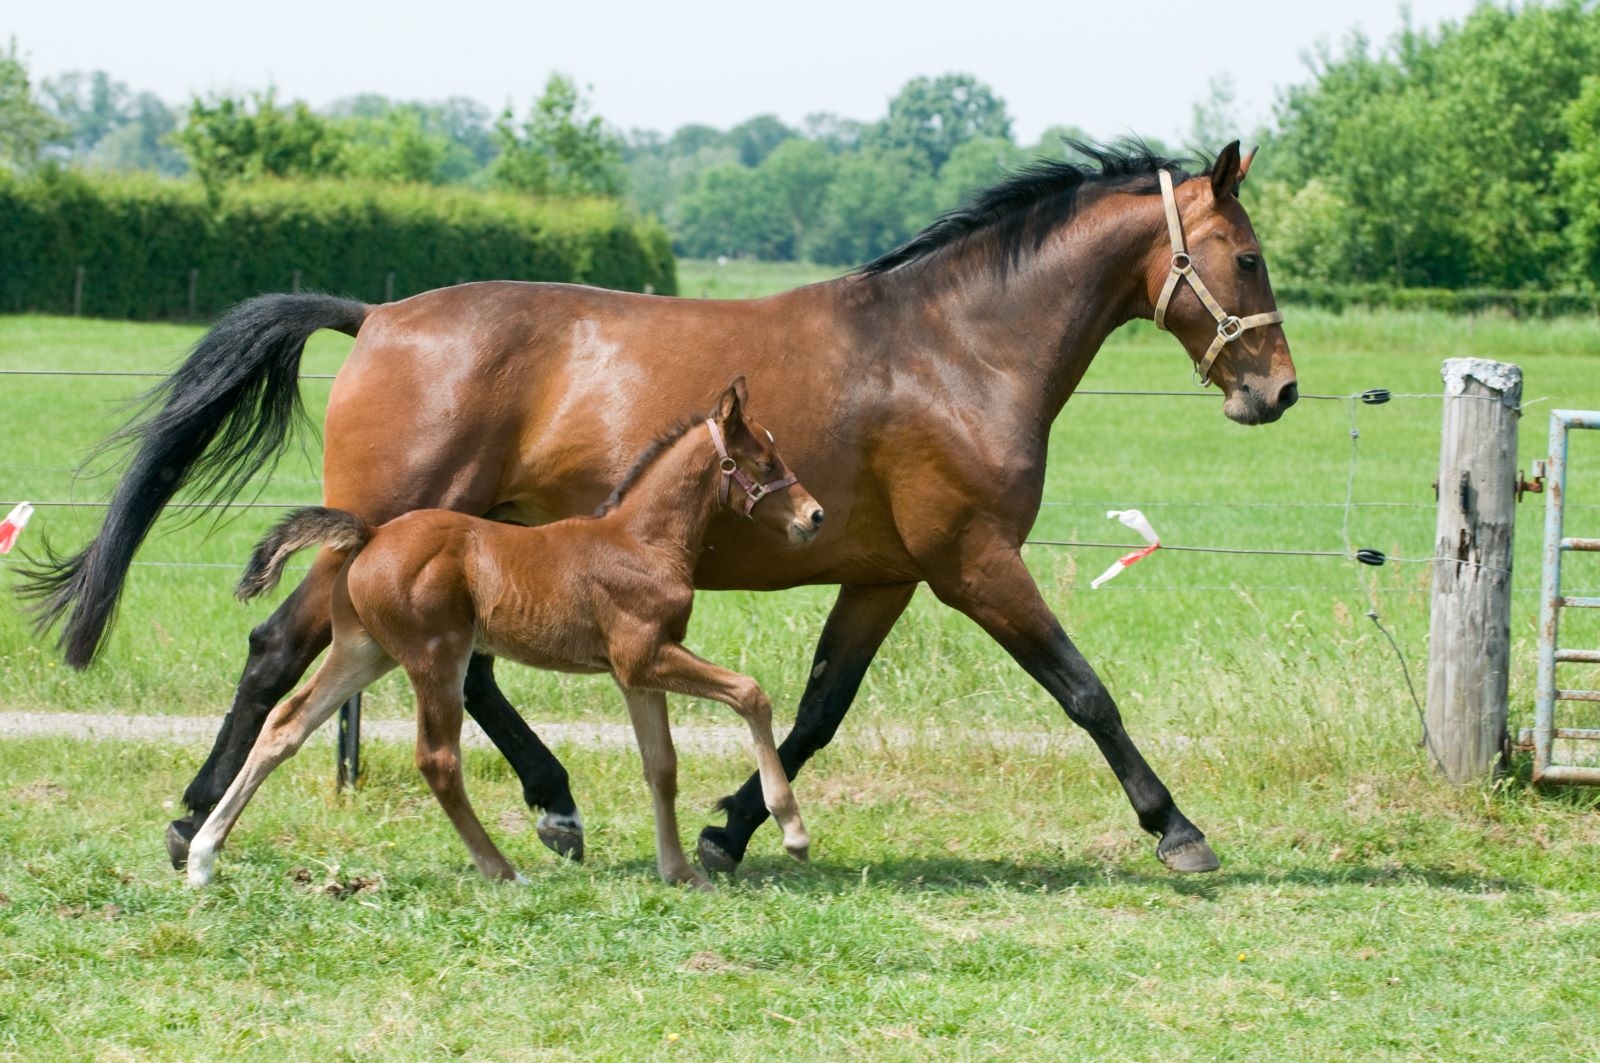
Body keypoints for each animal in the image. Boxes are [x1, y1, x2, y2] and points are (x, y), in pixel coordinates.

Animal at [186, 378, 822, 888]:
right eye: (764, 461)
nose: (813, 516)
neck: (642, 541)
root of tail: (370, 535)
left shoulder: (635, 675)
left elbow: (660, 766)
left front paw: (681, 872)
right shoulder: (646, 655)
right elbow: (749, 692)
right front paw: (793, 832)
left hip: (363, 651)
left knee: (286, 726)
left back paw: (202, 857)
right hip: (436, 655)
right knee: (438, 759)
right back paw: (501, 870)